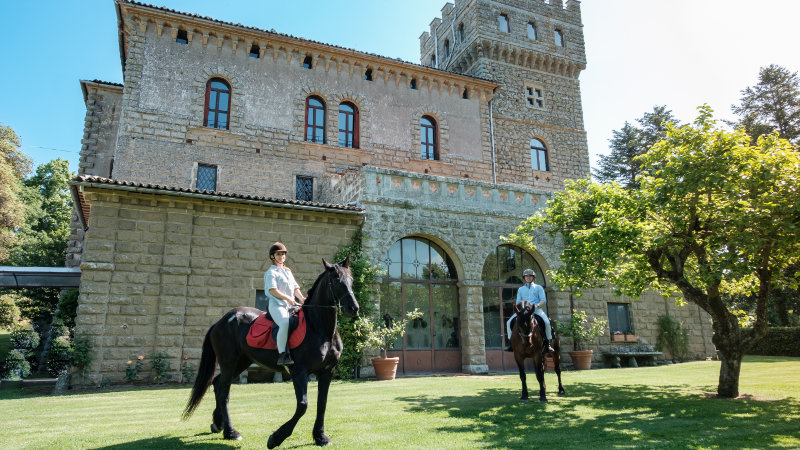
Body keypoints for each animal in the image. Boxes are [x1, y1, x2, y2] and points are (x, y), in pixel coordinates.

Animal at [183, 256, 358, 446]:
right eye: (336, 280)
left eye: (351, 280)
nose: (353, 308)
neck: (319, 329)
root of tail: (221, 321)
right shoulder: (299, 372)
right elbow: (302, 405)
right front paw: (276, 438)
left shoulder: (327, 372)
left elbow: (322, 403)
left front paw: (320, 436)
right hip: (229, 362)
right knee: (224, 393)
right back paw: (231, 432)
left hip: (241, 362)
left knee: (217, 383)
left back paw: (218, 423)